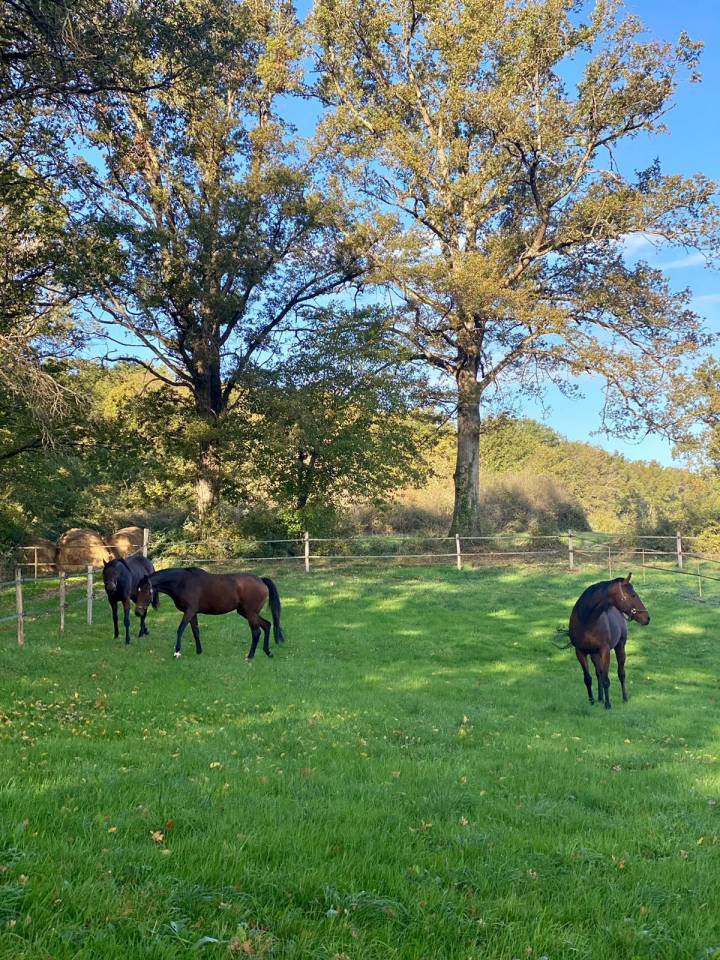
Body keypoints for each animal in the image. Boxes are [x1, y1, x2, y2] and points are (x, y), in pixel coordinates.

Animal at [134, 566, 285, 660]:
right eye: (137, 590)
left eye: (146, 591)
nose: (137, 612)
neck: (183, 582)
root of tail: (261, 580)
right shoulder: (193, 613)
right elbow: (195, 631)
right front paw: (199, 651)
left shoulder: (189, 611)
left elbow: (180, 629)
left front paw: (177, 652)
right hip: (245, 612)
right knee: (267, 625)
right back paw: (268, 652)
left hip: (250, 613)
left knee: (256, 632)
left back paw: (250, 656)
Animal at [566, 573, 649, 709]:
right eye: (633, 595)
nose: (647, 618)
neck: (586, 620)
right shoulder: (580, 652)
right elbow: (588, 678)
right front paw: (591, 702)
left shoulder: (605, 651)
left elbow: (606, 679)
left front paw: (608, 705)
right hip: (594, 654)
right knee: (598, 673)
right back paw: (600, 698)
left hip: (620, 647)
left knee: (621, 674)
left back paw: (624, 698)